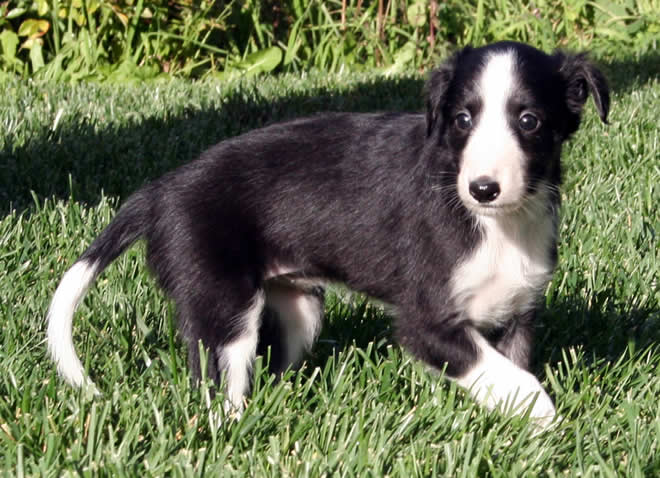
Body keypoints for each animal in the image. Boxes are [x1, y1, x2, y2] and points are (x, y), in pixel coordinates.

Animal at [47, 41, 609, 429]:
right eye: (462, 119)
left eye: (529, 120)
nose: (484, 188)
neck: (497, 225)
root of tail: (159, 190)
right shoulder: (425, 322)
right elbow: (520, 381)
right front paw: (549, 422)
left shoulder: (517, 313)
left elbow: (509, 372)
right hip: (222, 303)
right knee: (219, 383)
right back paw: (232, 430)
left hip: (298, 306)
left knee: (272, 364)